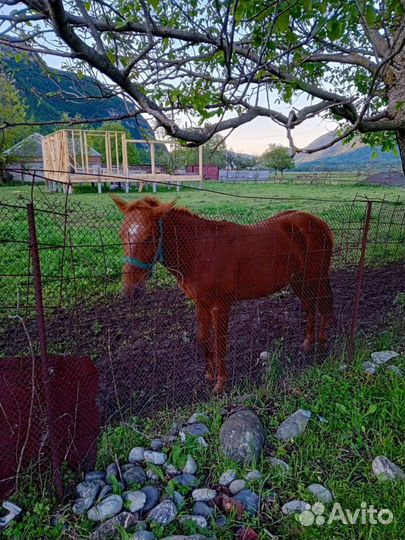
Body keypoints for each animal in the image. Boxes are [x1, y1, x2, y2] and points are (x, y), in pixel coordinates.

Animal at [112, 194, 332, 392]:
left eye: (149, 238)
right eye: (121, 235)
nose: (131, 290)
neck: (200, 252)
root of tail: (319, 222)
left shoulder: (221, 306)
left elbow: (219, 343)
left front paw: (220, 384)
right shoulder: (201, 304)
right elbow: (202, 340)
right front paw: (210, 375)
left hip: (316, 277)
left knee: (324, 306)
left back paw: (322, 345)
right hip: (298, 281)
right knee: (310, 307)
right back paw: (307, 344)